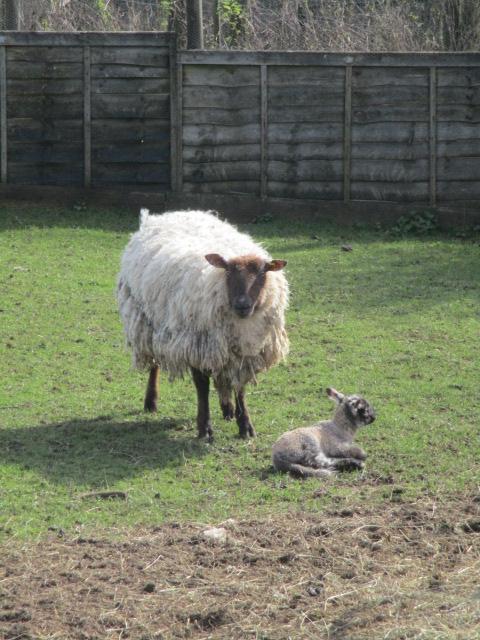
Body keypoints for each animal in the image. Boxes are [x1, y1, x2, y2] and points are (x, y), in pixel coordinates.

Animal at [116, 210, 288, 440]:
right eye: (228, 271)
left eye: (263, 273)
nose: (242, 304)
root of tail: (161, 216)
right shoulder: (196, 344)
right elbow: (202, 386)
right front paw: (204, 428)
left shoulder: (242, 352)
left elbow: (239, 386)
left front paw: (245, 425)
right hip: (147, 324)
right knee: (154, 364)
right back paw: (151, 401)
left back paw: (227, 408)